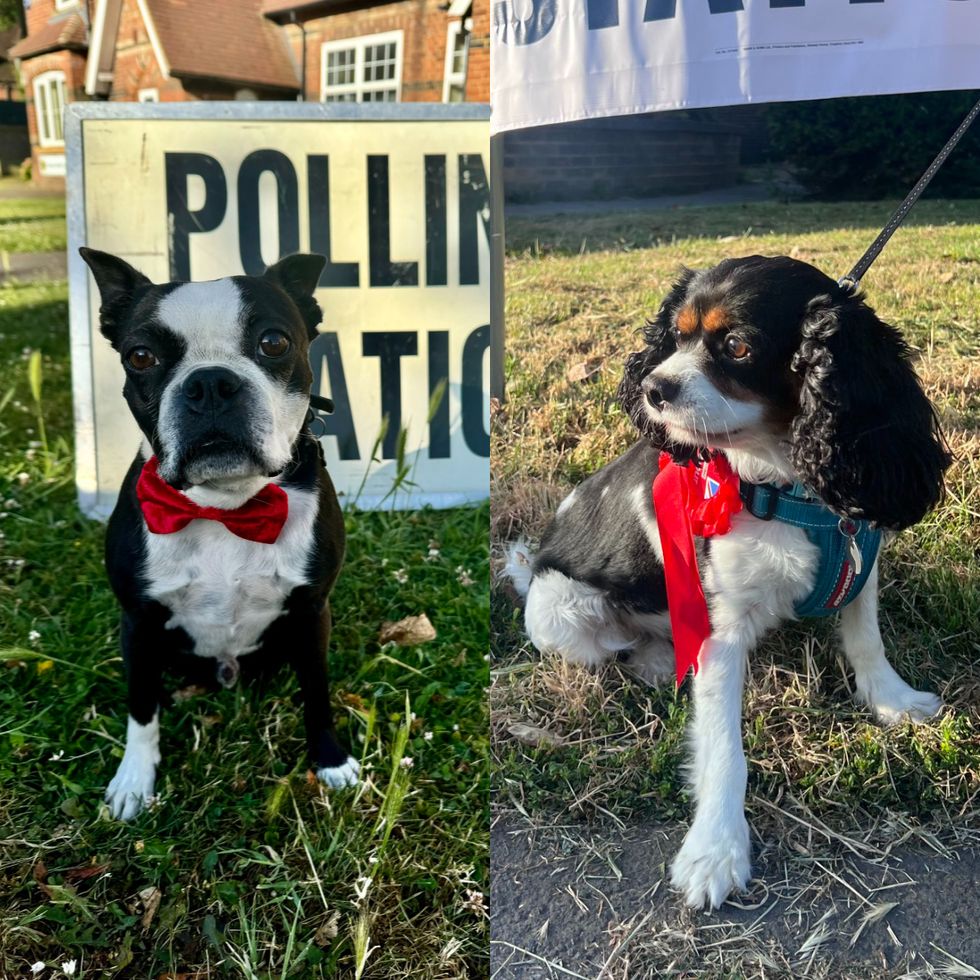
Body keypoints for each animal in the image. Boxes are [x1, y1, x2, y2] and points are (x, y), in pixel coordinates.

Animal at [79, 245, 356, 820]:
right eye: (141, 357)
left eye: (273, 342)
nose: (209, 383)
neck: (226, 506)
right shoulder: (137, 621)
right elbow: (141, 707)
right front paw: (134, 779)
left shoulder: (312, 612)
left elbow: (317, 691)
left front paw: (330, 759)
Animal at [510, 256, 952, 908]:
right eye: (675, 338)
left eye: (737, 346)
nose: (654, 387)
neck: (787, 483)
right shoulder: (718, 627)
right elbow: (724, 748)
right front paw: (715, 850)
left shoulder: (862, 553)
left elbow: (866, 639)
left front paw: (893, 700)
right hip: (559, 611)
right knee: (613, 649)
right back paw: (658, 662)